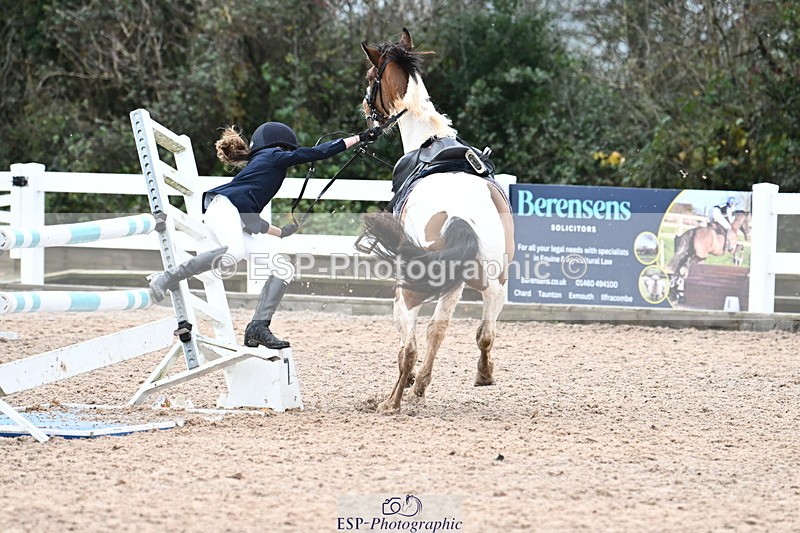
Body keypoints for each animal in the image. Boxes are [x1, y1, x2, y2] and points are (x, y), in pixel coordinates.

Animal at [358, 28, 515, 414]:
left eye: (370, 77)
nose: (365, 110)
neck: (429, 140)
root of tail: (458, 215)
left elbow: (407, 343)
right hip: (490, 284)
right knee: (474, 332)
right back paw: (479, 375)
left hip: (410, 291)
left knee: (411, 346)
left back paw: (393, 401)